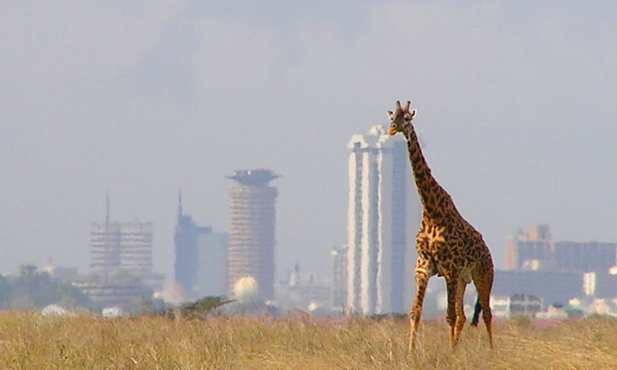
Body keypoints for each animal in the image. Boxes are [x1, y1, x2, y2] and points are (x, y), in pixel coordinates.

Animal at [388, 100, 494, 350]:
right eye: (391, 117)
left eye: (407, 119)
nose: (392, 129)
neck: (431, 212)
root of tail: (488, 251)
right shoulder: (424, 267)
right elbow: (415, 313)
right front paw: (411, 352)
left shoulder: (450, 268)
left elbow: (449, 316)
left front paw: (449, 353)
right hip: (464, 280)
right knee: (465, 316)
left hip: (483, 275)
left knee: (486, 314)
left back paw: (492, 352)